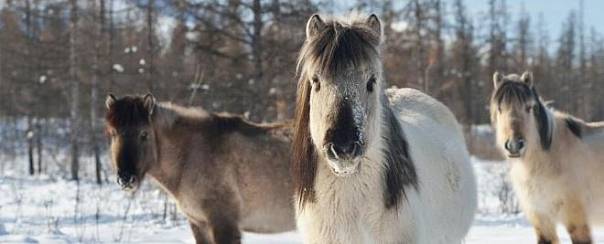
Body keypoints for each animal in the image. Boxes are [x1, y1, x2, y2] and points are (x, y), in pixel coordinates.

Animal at [104, 94, 298, 244]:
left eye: (144, 134)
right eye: (113, 133)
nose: (126, 178)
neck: (189, 156)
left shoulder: (224, 224)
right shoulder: (199, 224)